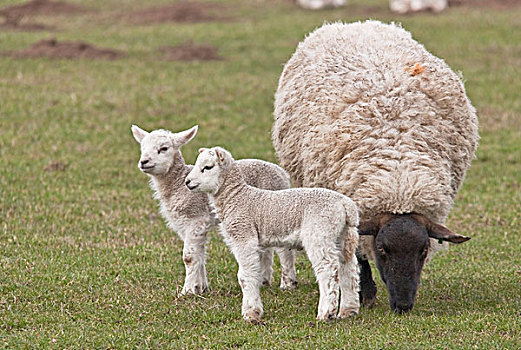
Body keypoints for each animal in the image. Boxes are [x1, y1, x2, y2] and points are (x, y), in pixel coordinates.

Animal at [130, 126, 296, 296]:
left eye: (164, 148)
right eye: (142, 148)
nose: (144, 162)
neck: (177, 184)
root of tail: (282, 173)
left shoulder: (195, 219)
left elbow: (189, 257)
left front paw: (187, 291)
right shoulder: (185, 224)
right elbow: (199, 255)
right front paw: (201, 287)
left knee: (284, 249)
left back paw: (287, 283)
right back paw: (264, 280)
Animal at [185, 146, 360, 322]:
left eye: (207, 167)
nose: (187, 182)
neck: (236, 198)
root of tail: (345, 205)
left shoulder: (244, 236)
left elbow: (245, 275)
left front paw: (251, 313)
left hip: (319, 233)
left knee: (328, 271)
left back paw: (326, 313)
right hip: (342, 236)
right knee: (349, 268)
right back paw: (348, 310)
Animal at [272, 20, 480, 314]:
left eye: (423, 251)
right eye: (383, 250)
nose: (403, 305)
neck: (399, 177)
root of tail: (353, 24)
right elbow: (357, 253)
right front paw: (365, 293)